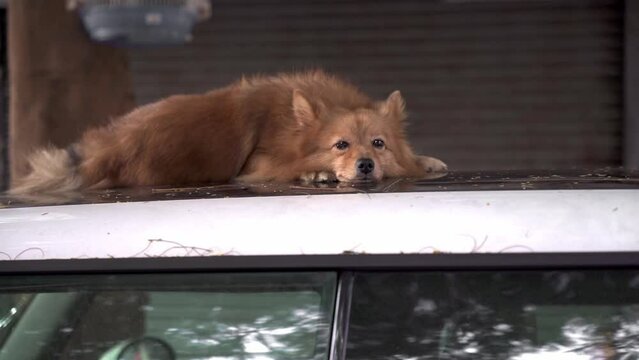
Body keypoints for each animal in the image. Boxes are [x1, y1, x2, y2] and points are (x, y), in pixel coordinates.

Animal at [11, 70, 450, 194]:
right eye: (340, 145)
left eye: (378, 144)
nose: (365, 165)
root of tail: (110, 146)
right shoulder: (257, 164)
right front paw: (316, 171)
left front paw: (427, 161)